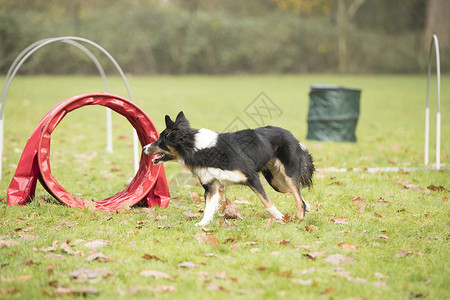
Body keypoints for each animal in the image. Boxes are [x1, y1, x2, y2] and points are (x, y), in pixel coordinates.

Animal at [143, 111, 312, 226]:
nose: (144, 147)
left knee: (297, 196)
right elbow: (209, 207)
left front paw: (280, 218)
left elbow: (267, 202)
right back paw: (307, 207)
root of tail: (291, 135)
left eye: (160, 141)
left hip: (287, 175)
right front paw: (203, 224)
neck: (197, 148)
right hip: (277, 182)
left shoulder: (251, 177)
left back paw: (300, 217)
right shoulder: (212, 185)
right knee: (297, 194)